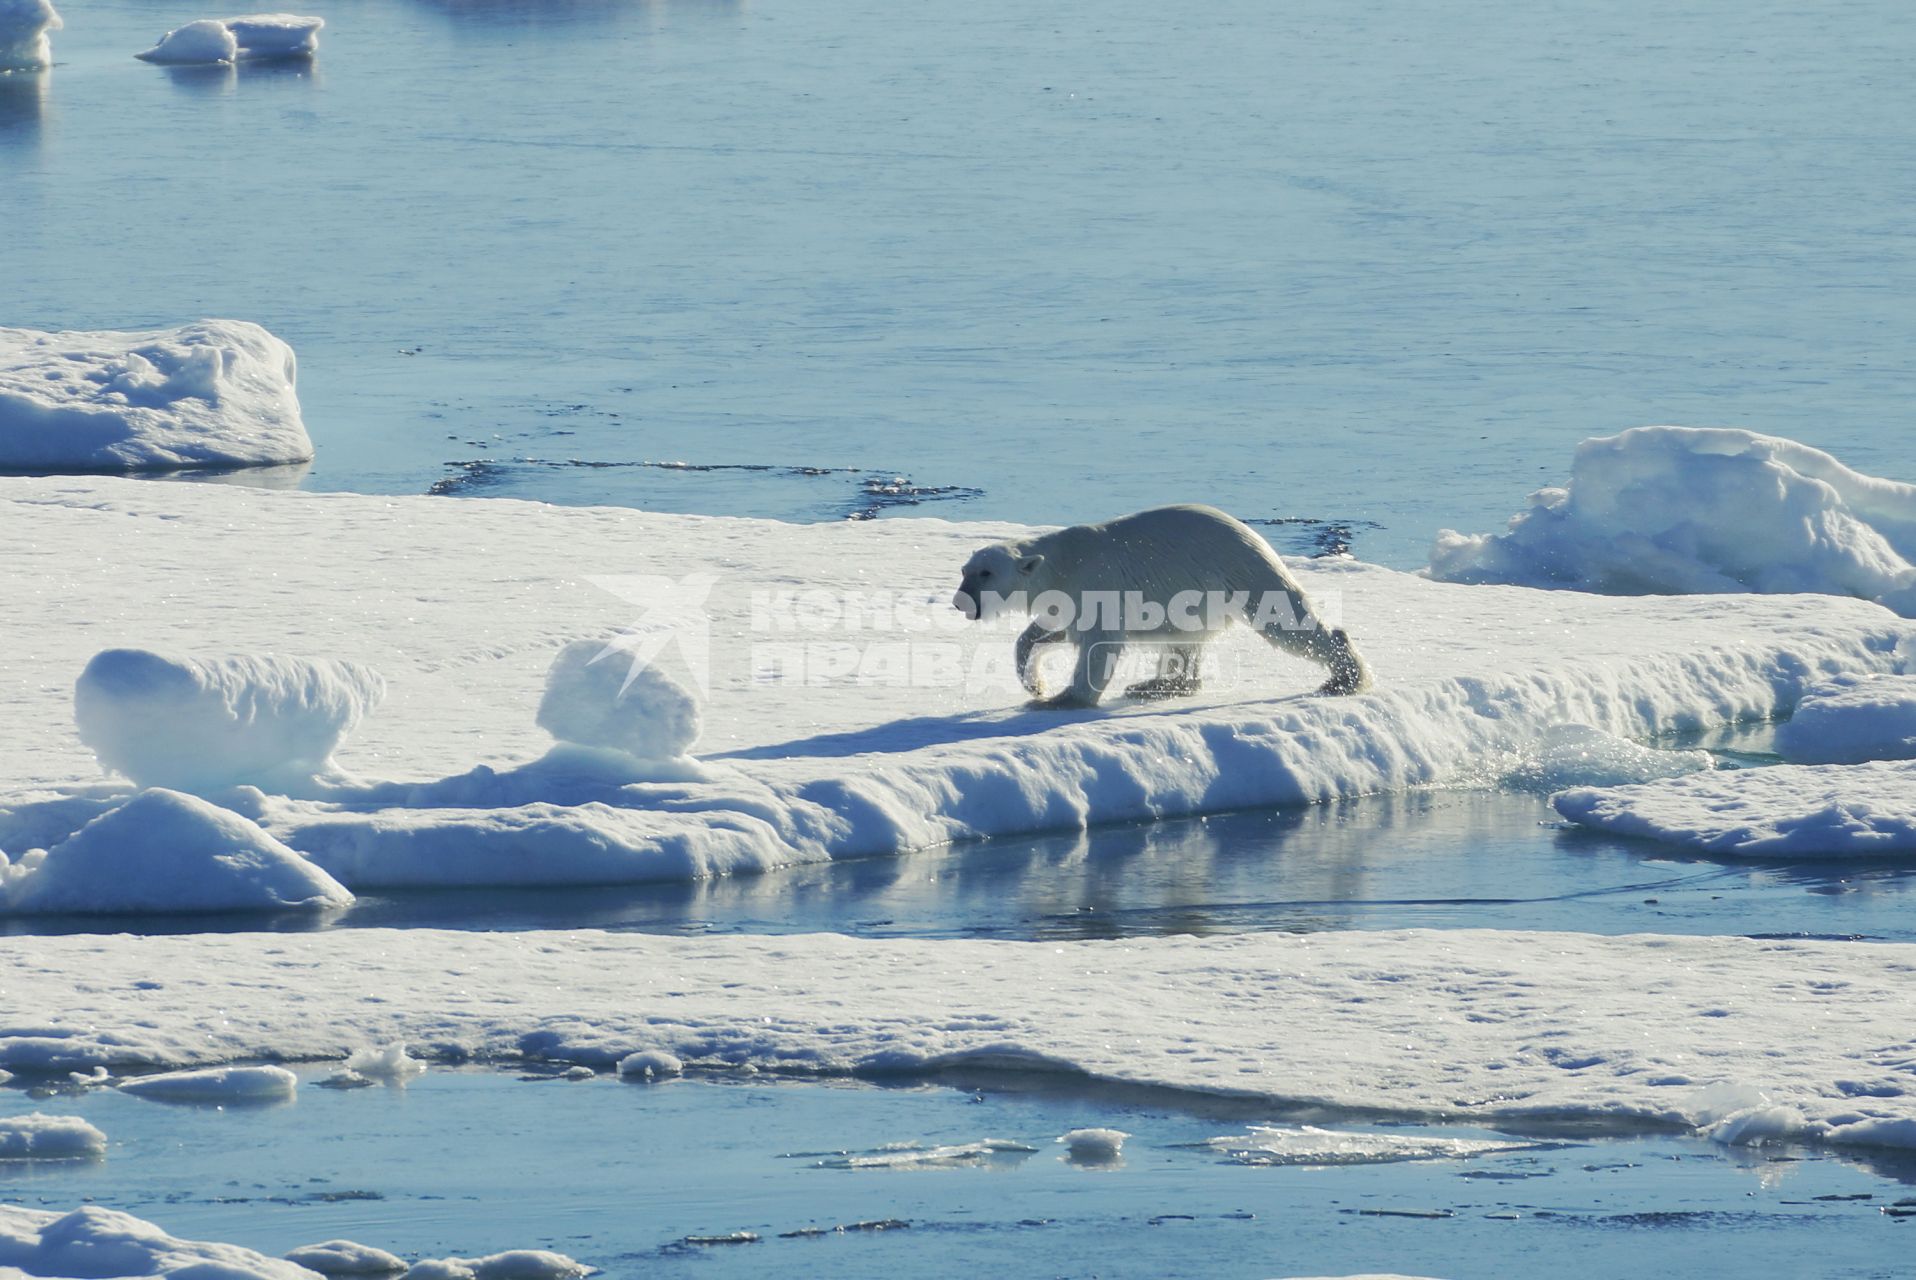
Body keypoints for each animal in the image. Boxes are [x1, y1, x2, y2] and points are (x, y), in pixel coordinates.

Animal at [950, 505, 1371, 708]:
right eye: (964, 571)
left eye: (985, 573)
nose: (959, 601)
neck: (1062, 563)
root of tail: (1255, 535)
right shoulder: (1066, 596)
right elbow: (1047, 631)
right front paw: (1035, 684)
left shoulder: (1095, 584)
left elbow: (1099, 644)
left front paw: (1063, 699)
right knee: (1183, 640)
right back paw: (1155, 683)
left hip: (1241, 573)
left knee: (1286, 623)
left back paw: (1345, 678)